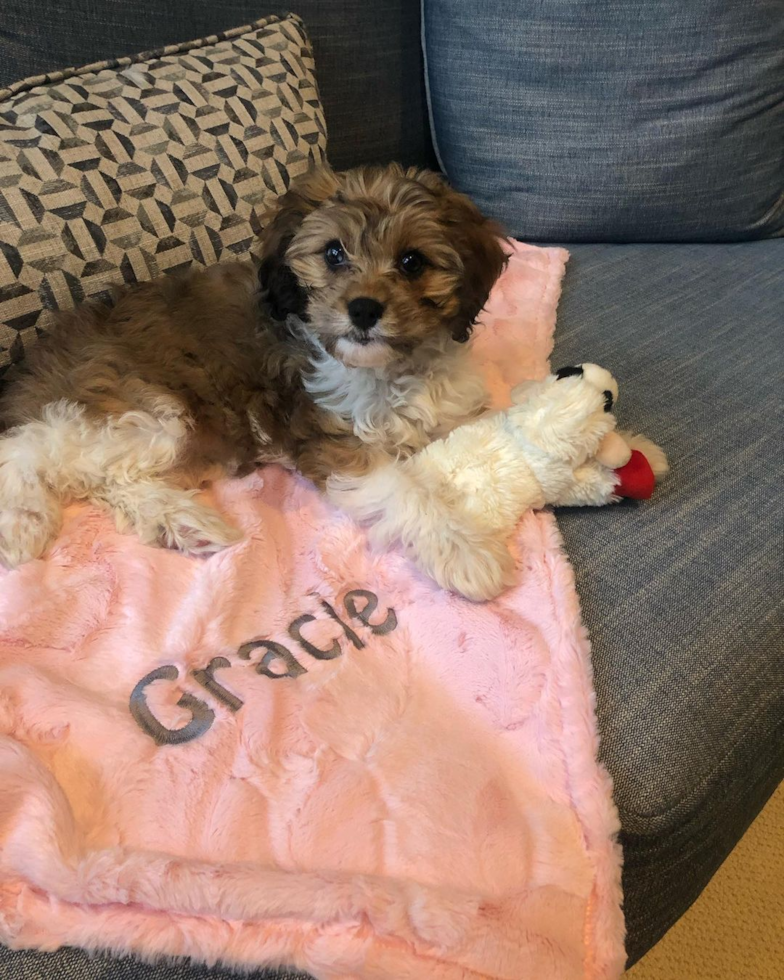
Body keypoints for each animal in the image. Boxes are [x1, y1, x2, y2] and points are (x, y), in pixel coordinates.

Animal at [0, 166, 508, 596]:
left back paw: (183, 522)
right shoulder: (328, 437)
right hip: (142, 406)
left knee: (107, 478)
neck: (387, 369)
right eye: (333, 253)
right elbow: (402, 488)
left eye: (411, 261)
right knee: (27, 450)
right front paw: (464, 549)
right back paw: (22, 521)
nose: (363, 309)